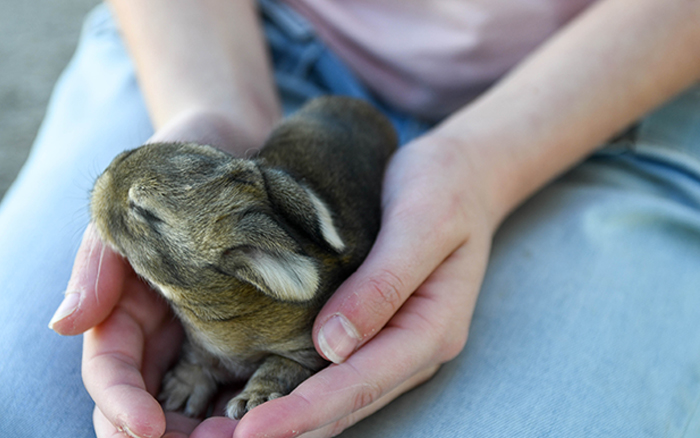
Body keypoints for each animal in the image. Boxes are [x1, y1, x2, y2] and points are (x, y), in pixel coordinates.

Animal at [89, 97, 396, 420]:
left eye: (144, 210)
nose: (105, 175)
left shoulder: (307, 352)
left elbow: (280, 368)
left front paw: (252, 400)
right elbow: (196, 358)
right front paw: (179, 392)